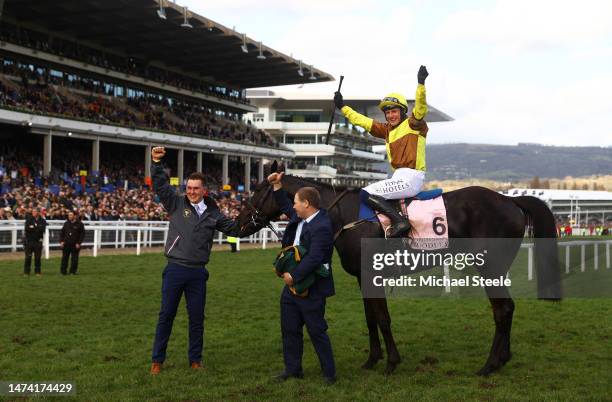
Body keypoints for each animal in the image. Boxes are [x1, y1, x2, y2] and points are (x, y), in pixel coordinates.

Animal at [237, 166, 560, 374]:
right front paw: (372, 360)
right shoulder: (364, 278)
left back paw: (489, 365)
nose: (238, 223)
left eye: (257, 190)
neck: (343, 215)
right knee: (508, 308)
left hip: (489, 267)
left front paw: (391, 362)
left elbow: (382, 318)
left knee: (501, 310)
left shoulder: (372, 275)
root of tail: (509, 199)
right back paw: (503, 358)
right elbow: (370, 319)